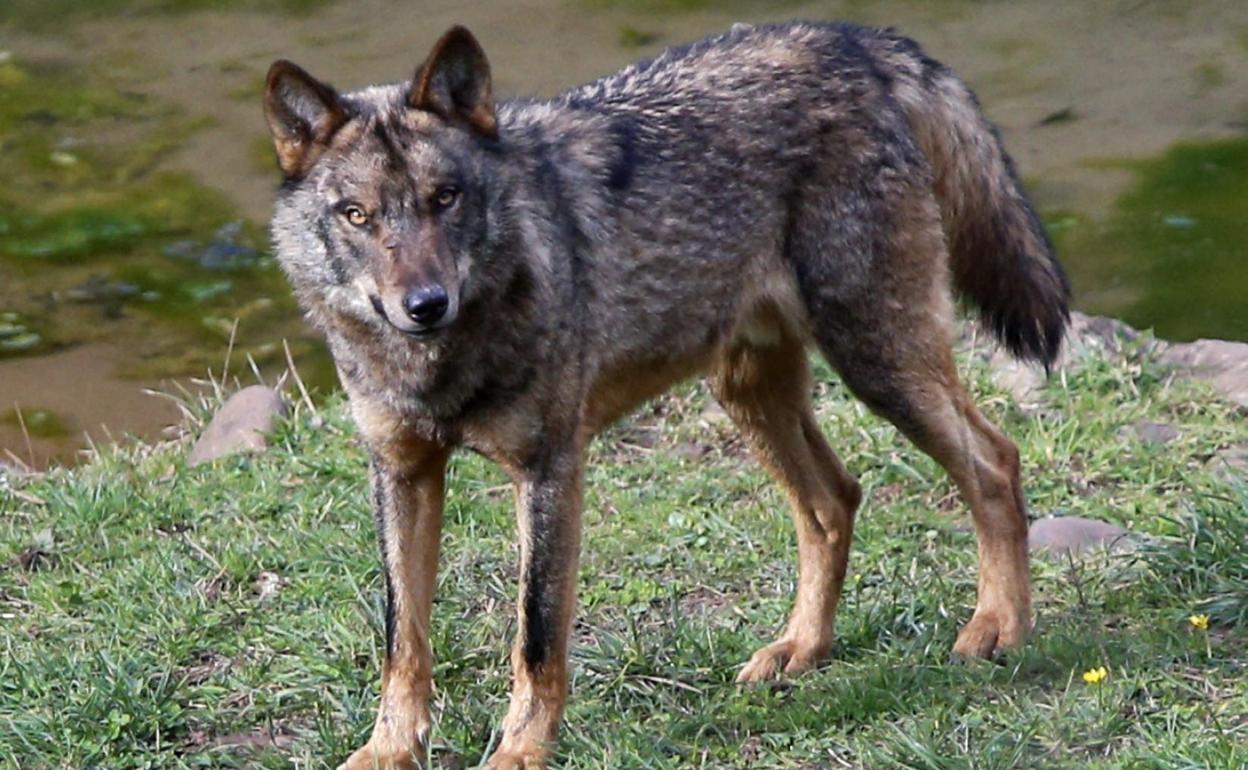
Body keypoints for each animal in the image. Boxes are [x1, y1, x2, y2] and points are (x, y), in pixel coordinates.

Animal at [260, 19, 1063, 768]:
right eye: (357, 215)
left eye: (445, 199)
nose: (426, 305)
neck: (439, 361)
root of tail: (855, 39)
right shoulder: (401, 472)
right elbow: (402, 638)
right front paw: (388, 749)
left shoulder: (550, 470)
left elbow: (536, 635)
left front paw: (521, 751)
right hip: (750, 392)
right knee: (835, 500)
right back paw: (801, 648)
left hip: (876, 363)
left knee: (995, 463)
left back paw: (999, 628)